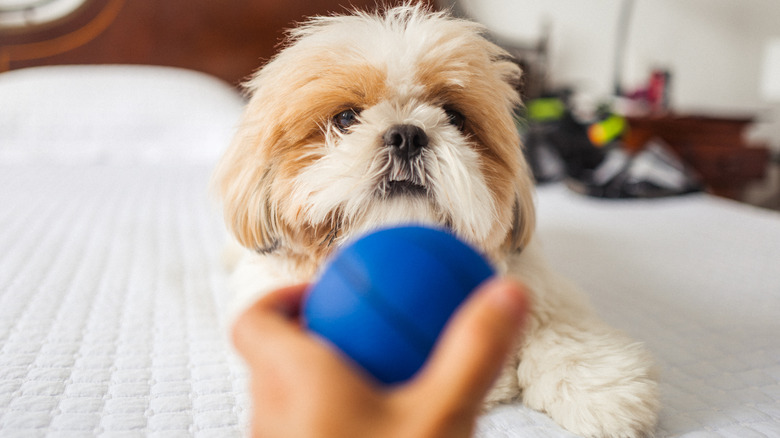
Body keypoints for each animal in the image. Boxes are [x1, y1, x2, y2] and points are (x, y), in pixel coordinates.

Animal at [213, 4, 660, 438]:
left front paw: (600, 390)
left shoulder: (537, 282)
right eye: (345, 119)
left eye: (454, 117)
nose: (407, 135)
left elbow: (562, 327)